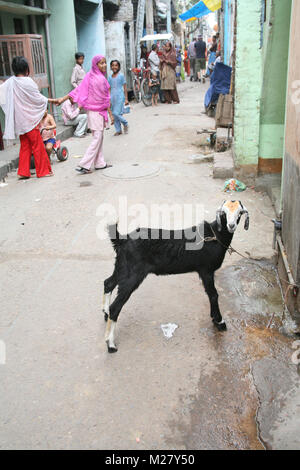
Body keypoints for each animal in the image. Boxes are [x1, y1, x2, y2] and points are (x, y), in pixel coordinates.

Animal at [102, 201, 248, 352]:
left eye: (239, 213)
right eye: (224, 213)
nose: (231, 225)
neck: (215, 236)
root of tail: (122, 240)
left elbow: (211, 294)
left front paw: (215, 319)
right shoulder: (206, 270)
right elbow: (213, 295)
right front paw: (220, 321)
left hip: (122, 267)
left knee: (108, 283)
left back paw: (105, 313)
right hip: (132, 273)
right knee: (116, 306)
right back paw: (110, 344)